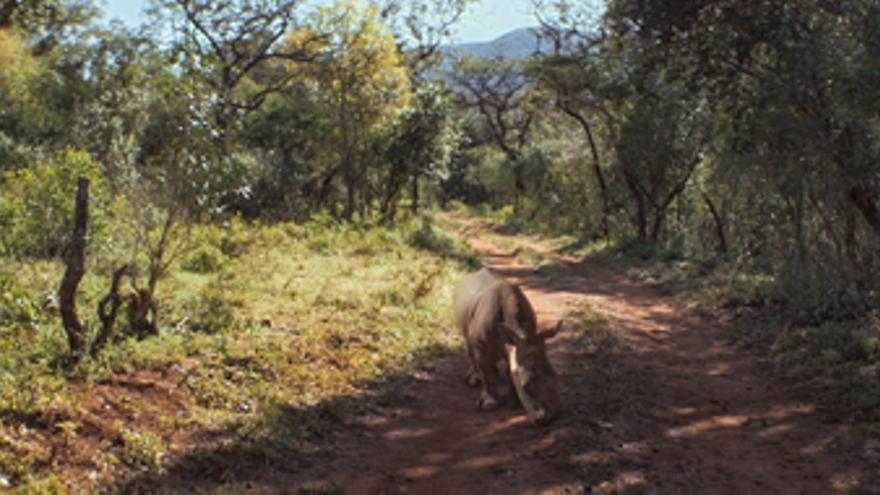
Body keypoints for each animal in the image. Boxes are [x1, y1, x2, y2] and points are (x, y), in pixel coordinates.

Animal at [454, 268, 564, 426]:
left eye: (556, 376)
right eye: (526, 387)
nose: (552, 417)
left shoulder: (516, 344)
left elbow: (511, 370)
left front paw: (513, 403)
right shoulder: (482, 345)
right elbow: (487, 372)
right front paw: (489, 404)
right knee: (469, 345)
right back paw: (474, 381)